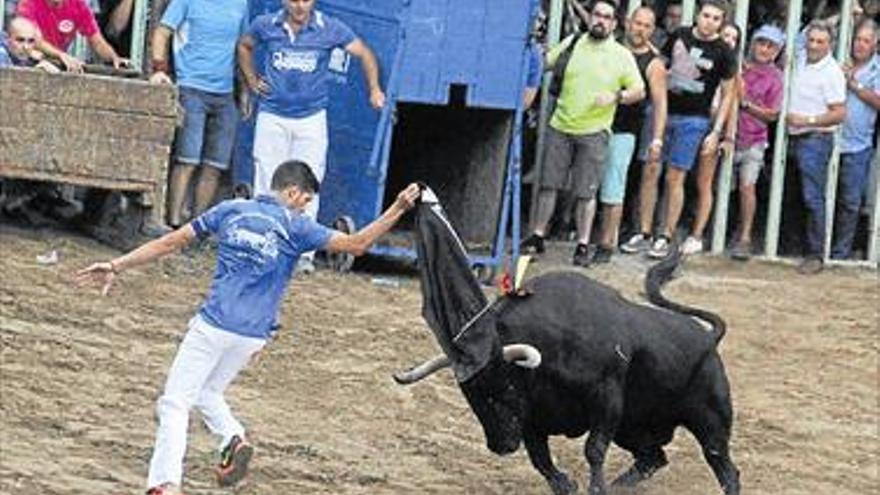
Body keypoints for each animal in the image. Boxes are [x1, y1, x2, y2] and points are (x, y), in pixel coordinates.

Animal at [396, 254, 740, 494]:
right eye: (469, 396)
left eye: (503, 387)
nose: (500, 445)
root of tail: (708, 338)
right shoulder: (532, 417)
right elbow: (540, 459)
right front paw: (566, 484)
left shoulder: (606, 400)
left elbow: (593, 450)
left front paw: (596, 488)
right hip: (632, 428)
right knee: (653, 457)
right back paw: (621, 484)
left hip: (710, 421)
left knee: (724, 467)